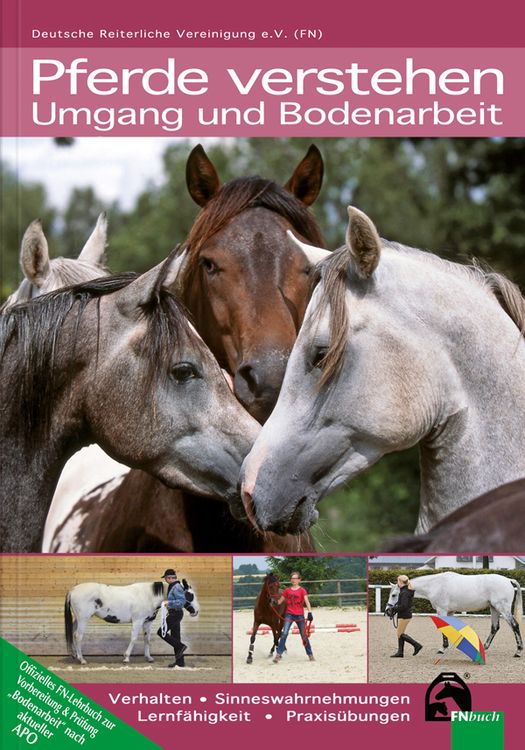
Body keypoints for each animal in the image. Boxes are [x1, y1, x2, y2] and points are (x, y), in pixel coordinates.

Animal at [64, 579, 199, 664]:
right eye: (190, 595)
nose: (196, 611)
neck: (148, 596)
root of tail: (73, 590)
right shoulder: (137, 621)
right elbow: (133, 638)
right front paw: (126, 658)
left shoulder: (147, 622)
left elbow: (147, 639)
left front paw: (149, 658)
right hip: (83, 619)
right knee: (78, 636)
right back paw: (82, 660)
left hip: (77, 619)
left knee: (73, 634)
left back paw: (75, 655)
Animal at [385, 572, 523, 657]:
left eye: (394, 595)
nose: (387, 611)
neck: (435, 585)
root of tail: (508, 580)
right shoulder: (449, 612)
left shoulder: (442, 611)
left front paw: (442, 649)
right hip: (494, 608)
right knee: (495, 627)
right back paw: (484, 647)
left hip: (502, 608)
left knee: (514, 625)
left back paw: (518, 651)